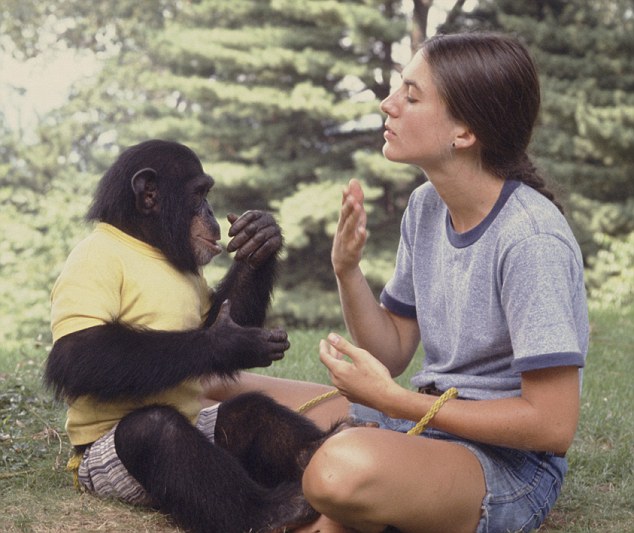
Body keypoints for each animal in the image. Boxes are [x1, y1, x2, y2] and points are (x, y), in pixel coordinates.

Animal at [43, 138, 338, 532]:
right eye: (199, 194)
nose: (211, 211)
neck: (144, 243)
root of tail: (78, 469)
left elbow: (217, 315)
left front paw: (262, 237)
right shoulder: (90, 265)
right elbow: (78, 352)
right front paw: (230, 343)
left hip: (209, 426)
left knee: (249, 410)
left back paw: (315, 451)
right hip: (108, 475)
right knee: (153, 432)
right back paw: (271, 511)